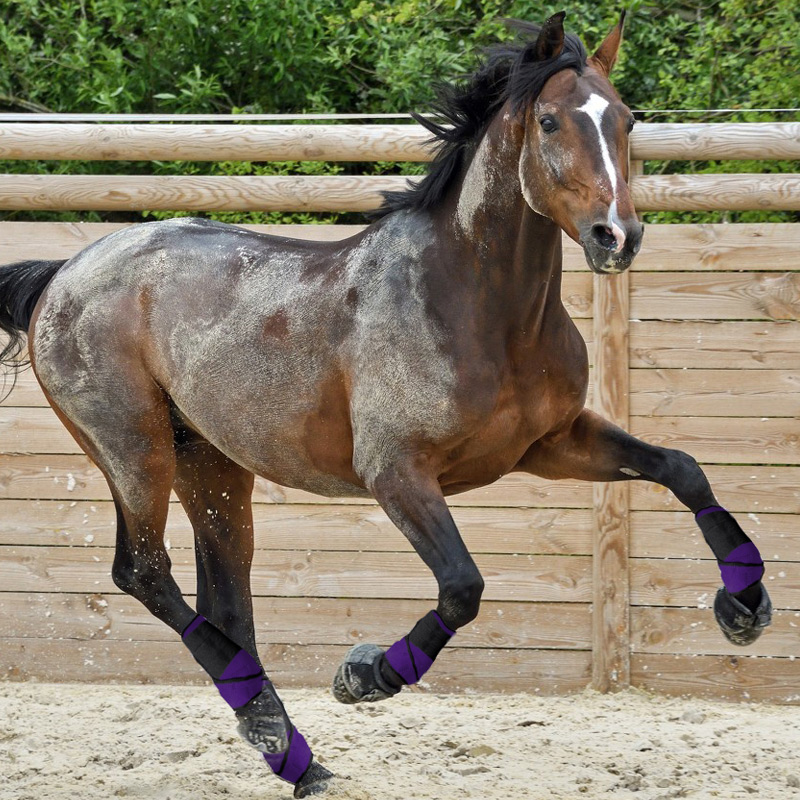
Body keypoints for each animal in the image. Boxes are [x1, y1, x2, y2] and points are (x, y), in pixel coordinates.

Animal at [0, 12, 772, 798]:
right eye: (551, 121)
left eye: (626, 119)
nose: (617, 237)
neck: (481, 310)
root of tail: (62, 273)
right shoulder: (396, 472)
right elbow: (462, 585)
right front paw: (365, 675)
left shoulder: (552, 444)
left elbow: (680, 468)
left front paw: (745, 609)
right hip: (134, 447)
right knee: (144, 572)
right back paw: (283, 734)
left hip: (211, 463)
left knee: (226, 600)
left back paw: (288, 750)